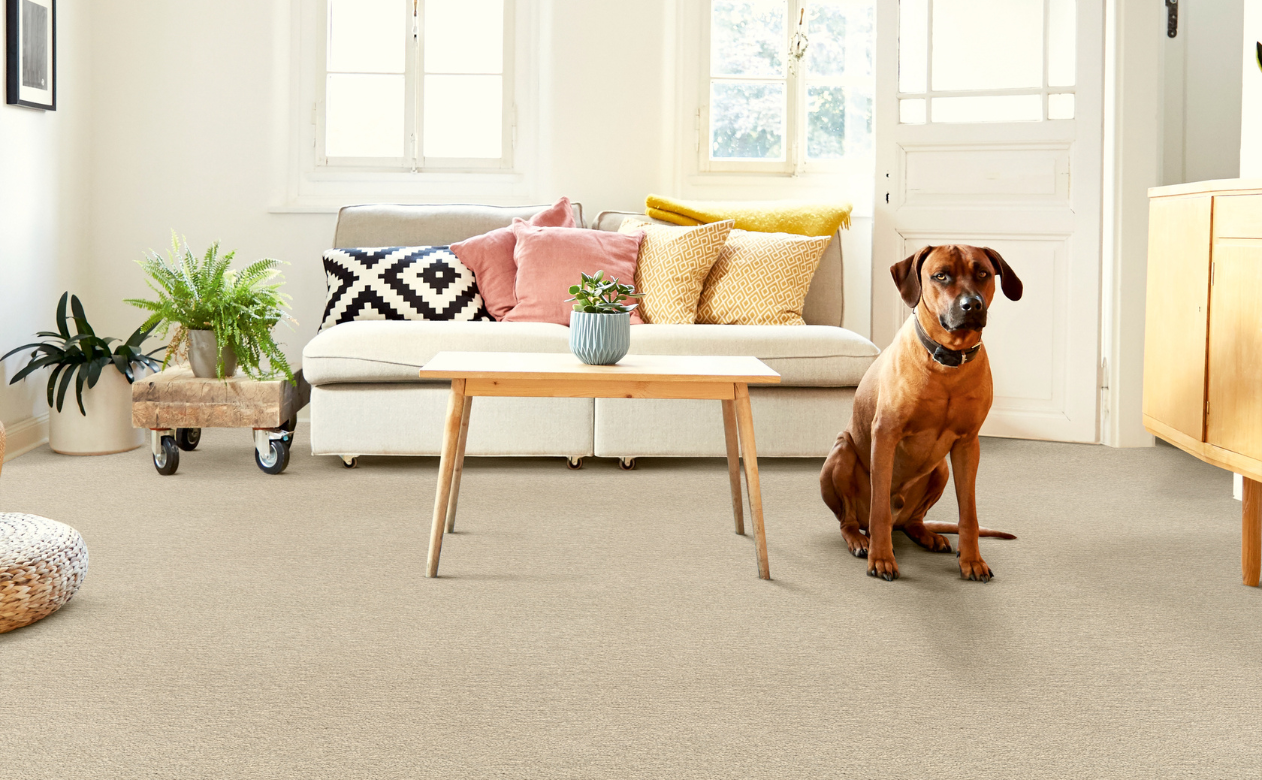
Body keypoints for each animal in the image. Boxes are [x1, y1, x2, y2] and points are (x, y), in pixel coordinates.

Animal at [822, 242, 1019, 578]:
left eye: (982, 273)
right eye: (940, 275)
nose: (972, 305)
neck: (948, 362)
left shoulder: (968, 444)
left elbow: (969, 513)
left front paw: (972, 560)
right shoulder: (885, 435)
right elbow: (878, 510)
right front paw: (881, 557)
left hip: (939, 470)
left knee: (913, 520)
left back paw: (928, 535)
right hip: (842, 453)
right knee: (851, 520)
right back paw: (861, 541)